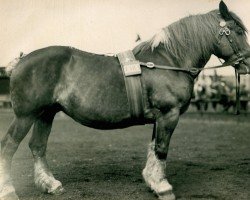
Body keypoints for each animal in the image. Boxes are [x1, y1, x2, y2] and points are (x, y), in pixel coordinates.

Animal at [0, 1, 250, 200]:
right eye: (237, 31)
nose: (248, 63)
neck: (169, 61)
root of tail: (21, 60)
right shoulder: (168, 114)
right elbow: (161, 149)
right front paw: (163, 187)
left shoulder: (160, 118)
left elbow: (153, 148)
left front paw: (151, 180)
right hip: (25, 116)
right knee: (8, 146)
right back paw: (9, 190)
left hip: (46, 114)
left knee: (38, 146)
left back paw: (51, 185)